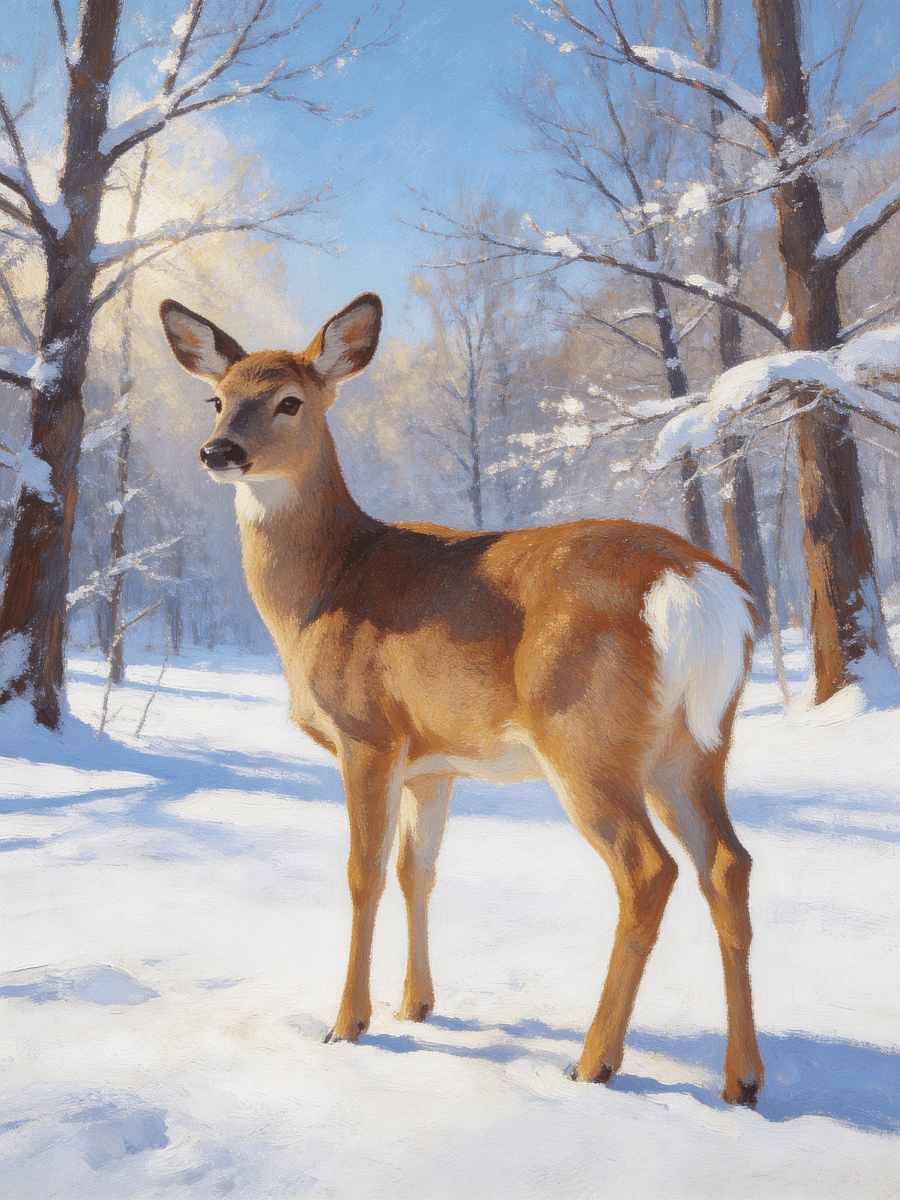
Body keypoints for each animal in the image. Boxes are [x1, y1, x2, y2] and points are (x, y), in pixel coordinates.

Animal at [160, 291, 764, 1106]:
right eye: (217, 398)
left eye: (289, 400)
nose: (218, 451)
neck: (324, 589)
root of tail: (695, 586)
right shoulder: (434, 763)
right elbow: (418, 871)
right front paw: (417, 1006)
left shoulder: (368, 733)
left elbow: (362, 873)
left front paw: (348, 1024)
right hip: (696, 744)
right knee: (728, 864)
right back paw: (742, 1079)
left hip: (587, 738)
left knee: (648, 871)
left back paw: (593, 1061)